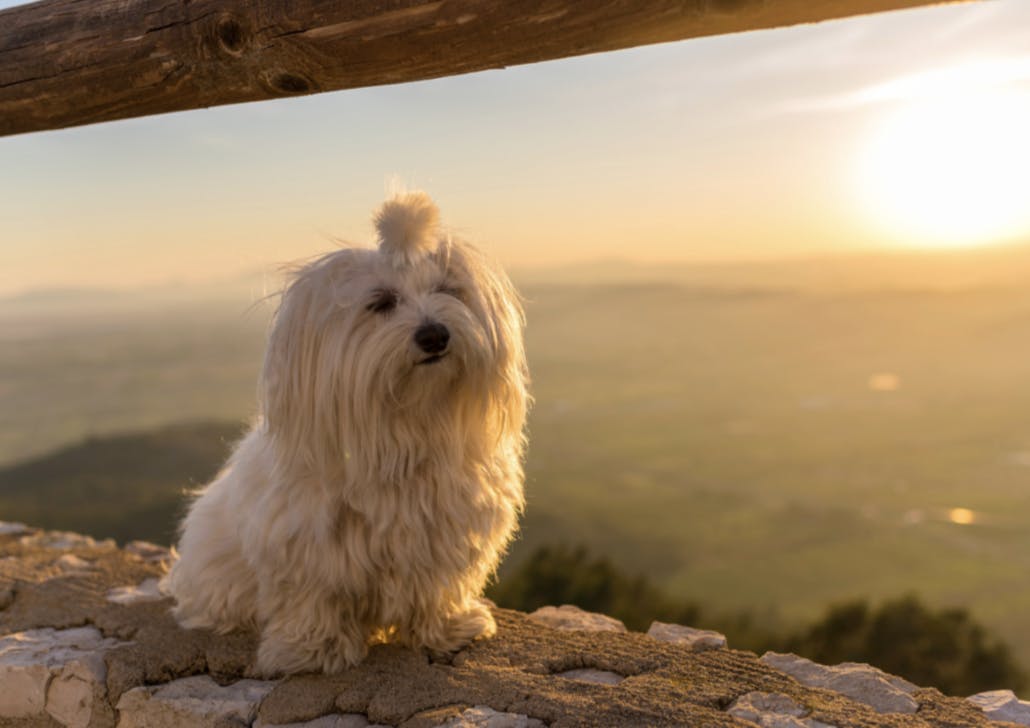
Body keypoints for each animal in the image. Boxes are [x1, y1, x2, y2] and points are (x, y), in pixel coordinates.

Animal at [164, 193, 531, 679]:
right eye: (381, 302)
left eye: (449, 290)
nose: (435, 335)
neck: (406, 426)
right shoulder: (305, 546)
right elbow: (313, 598)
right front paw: (312, 650)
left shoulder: (445, 532)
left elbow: (438, 586)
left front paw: (449, 627)